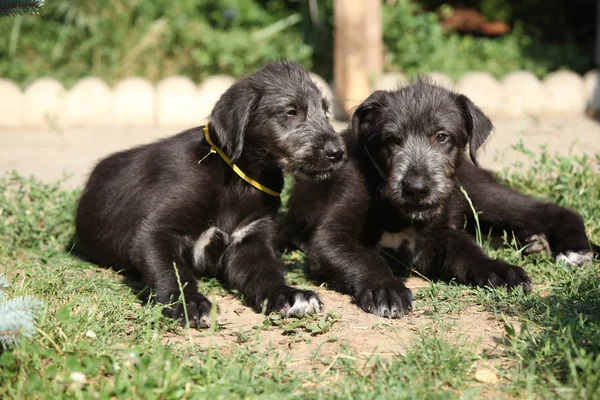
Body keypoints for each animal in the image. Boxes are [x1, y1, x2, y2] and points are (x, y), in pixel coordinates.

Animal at [74, 60, 344, 328]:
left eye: (326, 112)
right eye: (291, 111)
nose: (338, 152)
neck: (237, 181)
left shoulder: (251, 239)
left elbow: (267, 272)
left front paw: (288, 294)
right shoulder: (156, 232)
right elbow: (173, 271)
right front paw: (190, 303)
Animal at [284, 77, 596, 318]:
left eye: (442, 136)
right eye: (392, 140)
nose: (416, 188)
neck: (394, 209)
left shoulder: (436, 234)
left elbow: (466, 249)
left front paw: (497, 269)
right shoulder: (331, 238)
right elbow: (364, 257)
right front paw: (385, 287)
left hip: (475, 192)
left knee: (552, 210)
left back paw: (574, 250)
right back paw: (533, 244)